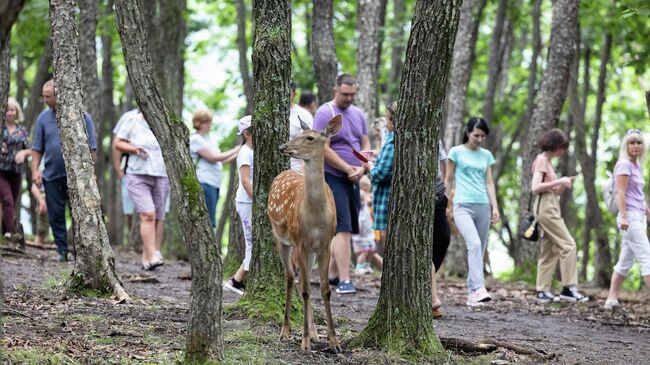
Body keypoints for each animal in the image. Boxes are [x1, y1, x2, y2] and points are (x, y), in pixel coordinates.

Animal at [266, 113, 342, 350]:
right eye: (297, 133)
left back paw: (315, 333)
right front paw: (305, 341)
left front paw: (333, 341)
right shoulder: (299, 241)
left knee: (301, 281)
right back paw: (286, 331)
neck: (316, 217)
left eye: (310, 137)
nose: (283, 146)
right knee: (291, 278)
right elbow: (307, 289)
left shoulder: (326, 244)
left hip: (309, 250)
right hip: (282, 238)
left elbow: (325, 290)